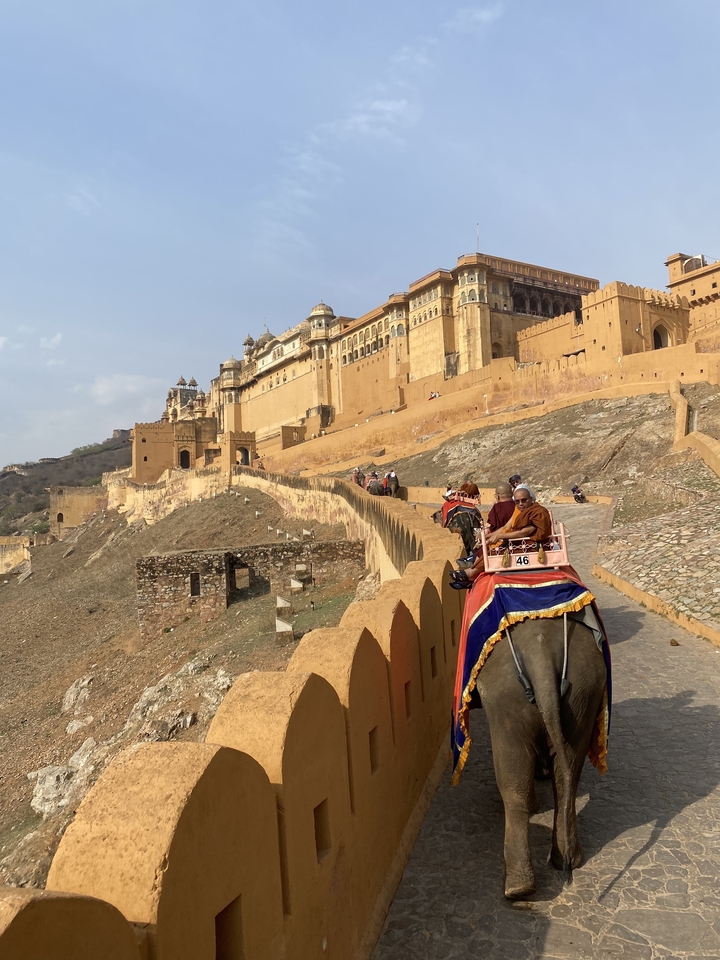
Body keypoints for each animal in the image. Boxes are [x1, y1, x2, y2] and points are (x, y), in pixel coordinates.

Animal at [475, 614, 607, 899]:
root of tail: (541, 654)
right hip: (584, 692)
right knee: (567, 778)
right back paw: (568, 861)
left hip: (506, 702)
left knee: (513, 785)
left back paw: (518, 888)